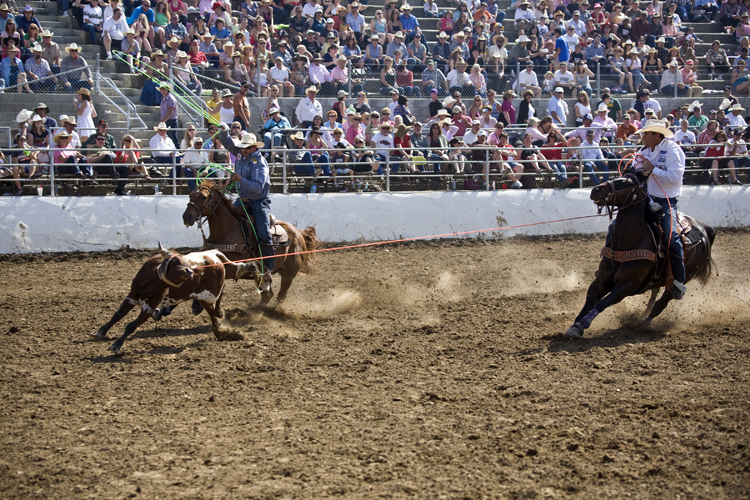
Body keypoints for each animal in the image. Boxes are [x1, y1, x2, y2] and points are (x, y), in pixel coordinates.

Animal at [90, 243, 256, 356]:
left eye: (184, 261)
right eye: (175, 262)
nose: (190, 271)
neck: (152, 281)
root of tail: (213, 254)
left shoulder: (149, 306)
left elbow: (131, 325)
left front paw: (117, 345)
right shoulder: (131, 296)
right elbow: (117, 315)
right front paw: (101, 331)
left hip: (211, 291)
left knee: (221, 292)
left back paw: (220, 312)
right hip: (199, 294)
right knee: (210, 309)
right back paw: (218, 327)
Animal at [185, 182, 324, 308]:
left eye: (203, 197)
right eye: (190, 195)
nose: (186, 217)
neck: (227, 230)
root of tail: (299, 233)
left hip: (288, 273)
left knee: (280, 295)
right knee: (268, 294)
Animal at [568, 174, 716, 338]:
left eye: (626, 182)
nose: (596, 190)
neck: (628, 242)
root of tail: (704, 229)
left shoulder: (628, 285)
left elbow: (602, 303)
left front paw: (582, 324)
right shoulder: (601, 280)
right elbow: (589, 301)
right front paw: (574, 325)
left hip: (684, 277)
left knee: (662, 302)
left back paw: (645, 322)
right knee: (653, 296)